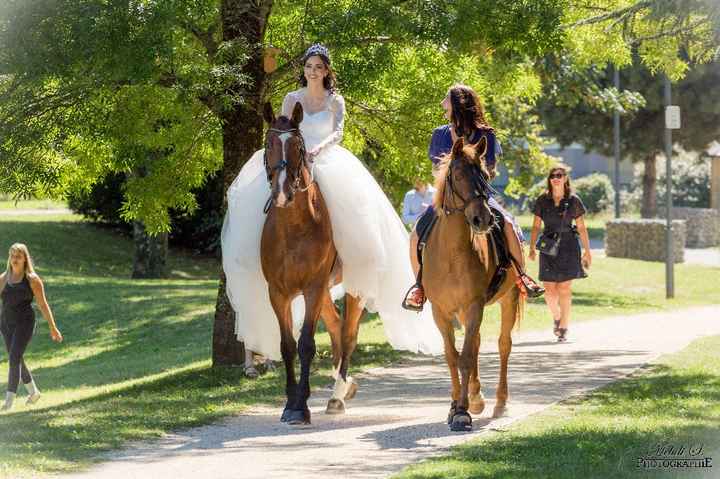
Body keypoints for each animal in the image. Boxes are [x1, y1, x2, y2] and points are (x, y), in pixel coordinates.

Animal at [260, 101, 363, 425]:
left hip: (351, 289)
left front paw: (300, 407)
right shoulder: (278, 292)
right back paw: (343, 389)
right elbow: (287, 346)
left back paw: (338, 395)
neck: (293, 226)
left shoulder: (313, 288)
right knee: (336, 328)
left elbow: (306, 344)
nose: (282, 193)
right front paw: (290, 402)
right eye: (268, 143)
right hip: (324, 292)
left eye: (298, 145)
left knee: (348, 334)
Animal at [422, 137, 524, 432]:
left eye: (485, 176)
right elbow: (452, 356)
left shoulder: (474, 304)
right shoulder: (440, 310)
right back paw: (477, 396)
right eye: (457, 175)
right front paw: (455, 405)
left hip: (508, 297)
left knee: (503, 345)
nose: (484, 219)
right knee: (476, 343)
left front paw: (462, 412)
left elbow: (466, 357)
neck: (452, 253)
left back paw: (499, 403)